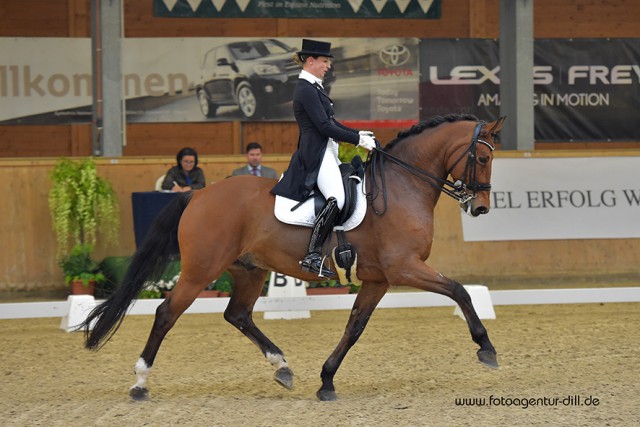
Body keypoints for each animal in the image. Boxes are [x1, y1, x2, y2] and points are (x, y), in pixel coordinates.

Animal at [82, 113, 508, 402]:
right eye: (483, 159)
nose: (481, 208)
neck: (403, 186)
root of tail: (198, 194)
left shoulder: (378, 278)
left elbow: (355, 327)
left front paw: (327, 380)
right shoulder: (404, 267)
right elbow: (459, 291)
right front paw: (486, 348)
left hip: (249, 270)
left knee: (237, 314)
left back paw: (282, 367)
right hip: (201, 270)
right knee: (166, 313)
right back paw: (140, 382)